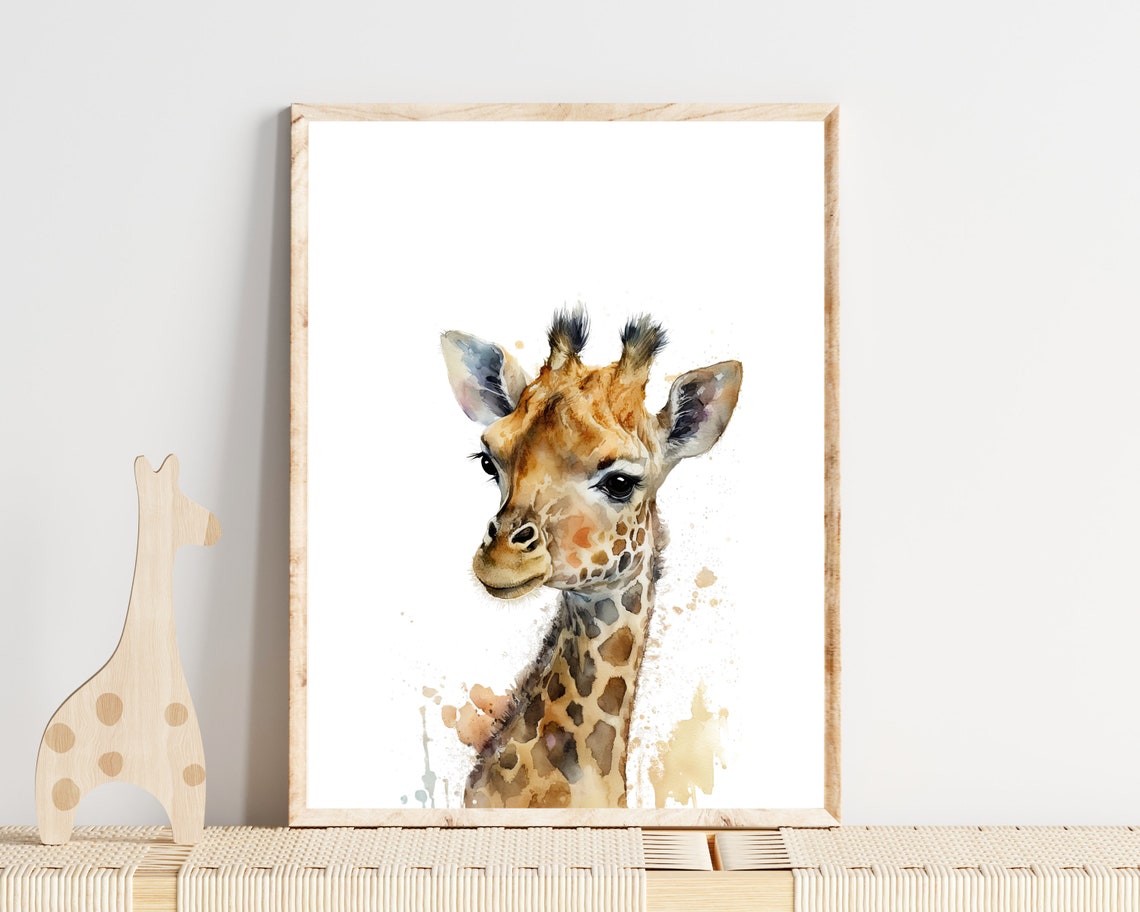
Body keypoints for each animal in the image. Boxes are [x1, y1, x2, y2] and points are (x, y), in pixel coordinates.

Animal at [35, 454, 220, 844]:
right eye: (184, 501)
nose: (216, 526)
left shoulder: (182, 775)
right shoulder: (188, 777)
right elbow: (191, 816)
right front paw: (189, 842)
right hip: (58, 787)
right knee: (54, 817)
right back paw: (54, 841)